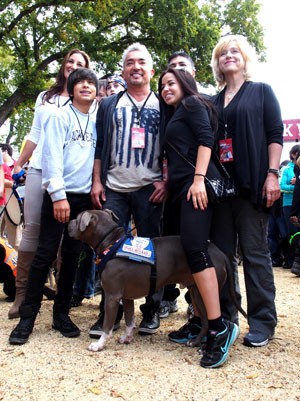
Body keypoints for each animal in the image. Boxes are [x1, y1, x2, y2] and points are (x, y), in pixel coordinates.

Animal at [67, 209, 244, 350]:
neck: (112, 243)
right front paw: (127, 338)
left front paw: (99, 345)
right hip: (196, 291)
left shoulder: (112, 296)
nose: (68, 222)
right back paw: (195, 343)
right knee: (206, 321)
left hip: (206, 291)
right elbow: (130, 320)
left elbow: (107, 326)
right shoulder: (126, 296)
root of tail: (219, 252)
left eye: (78, 218)